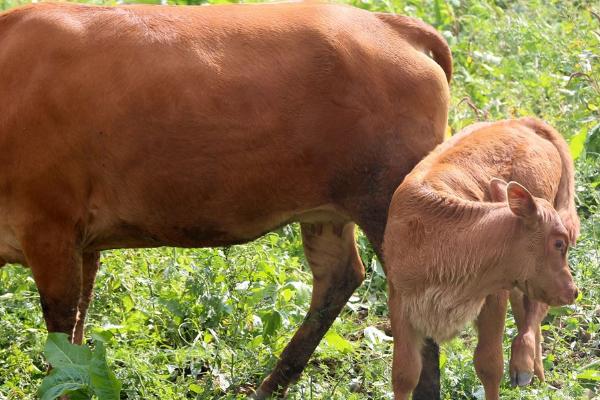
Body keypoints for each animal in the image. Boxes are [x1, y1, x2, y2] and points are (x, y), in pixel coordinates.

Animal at [0, 2, 450, 396]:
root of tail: (388, 24)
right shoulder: (81, 240)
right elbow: (77, 330)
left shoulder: (49, 226)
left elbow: (62, 337)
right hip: (328, 211)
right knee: (339, 277)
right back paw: (270, 387)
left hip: (388, 207)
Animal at [382, 118, 580, 400]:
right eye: (559, 243)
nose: (574, 291)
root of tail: (520, 122)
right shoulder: (399, 299)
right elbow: (404, 373)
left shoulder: (494, 294)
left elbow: (489, 365)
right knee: (526, 308)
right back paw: (537, 373)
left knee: (535, 310)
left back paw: (524, 365)